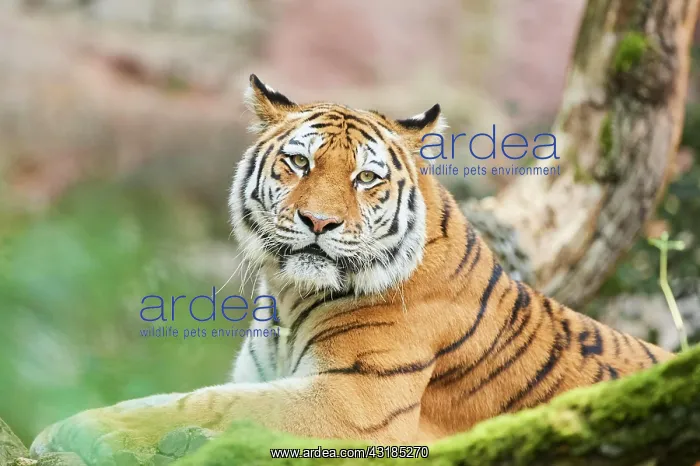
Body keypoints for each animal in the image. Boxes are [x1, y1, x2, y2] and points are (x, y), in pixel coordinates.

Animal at [30, 74, 673, 464]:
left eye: (366, 178)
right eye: (298, 163)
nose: (319, 222)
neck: (288, 298)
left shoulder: (352, 402)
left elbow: (203, 403)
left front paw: (75, 428)